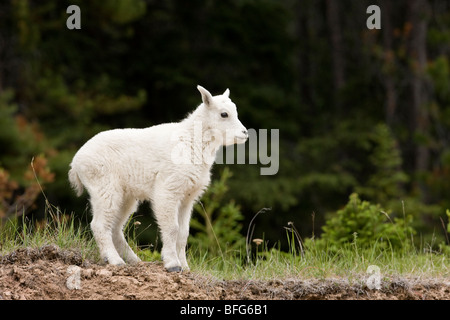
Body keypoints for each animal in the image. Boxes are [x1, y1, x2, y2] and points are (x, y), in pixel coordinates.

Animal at [68, 86, 248, 272]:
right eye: (224, 114)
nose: (245, 133)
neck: (192, 142)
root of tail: (75, 163)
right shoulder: (168, 190)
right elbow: (172, 228)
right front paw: (173, 264)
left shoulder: (187, 197)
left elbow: (183, 232)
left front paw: (185, 267)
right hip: (104, 187)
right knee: (100, 225)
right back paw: (114, 260)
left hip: (125, 196)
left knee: (116, 228)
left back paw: (134, 261)